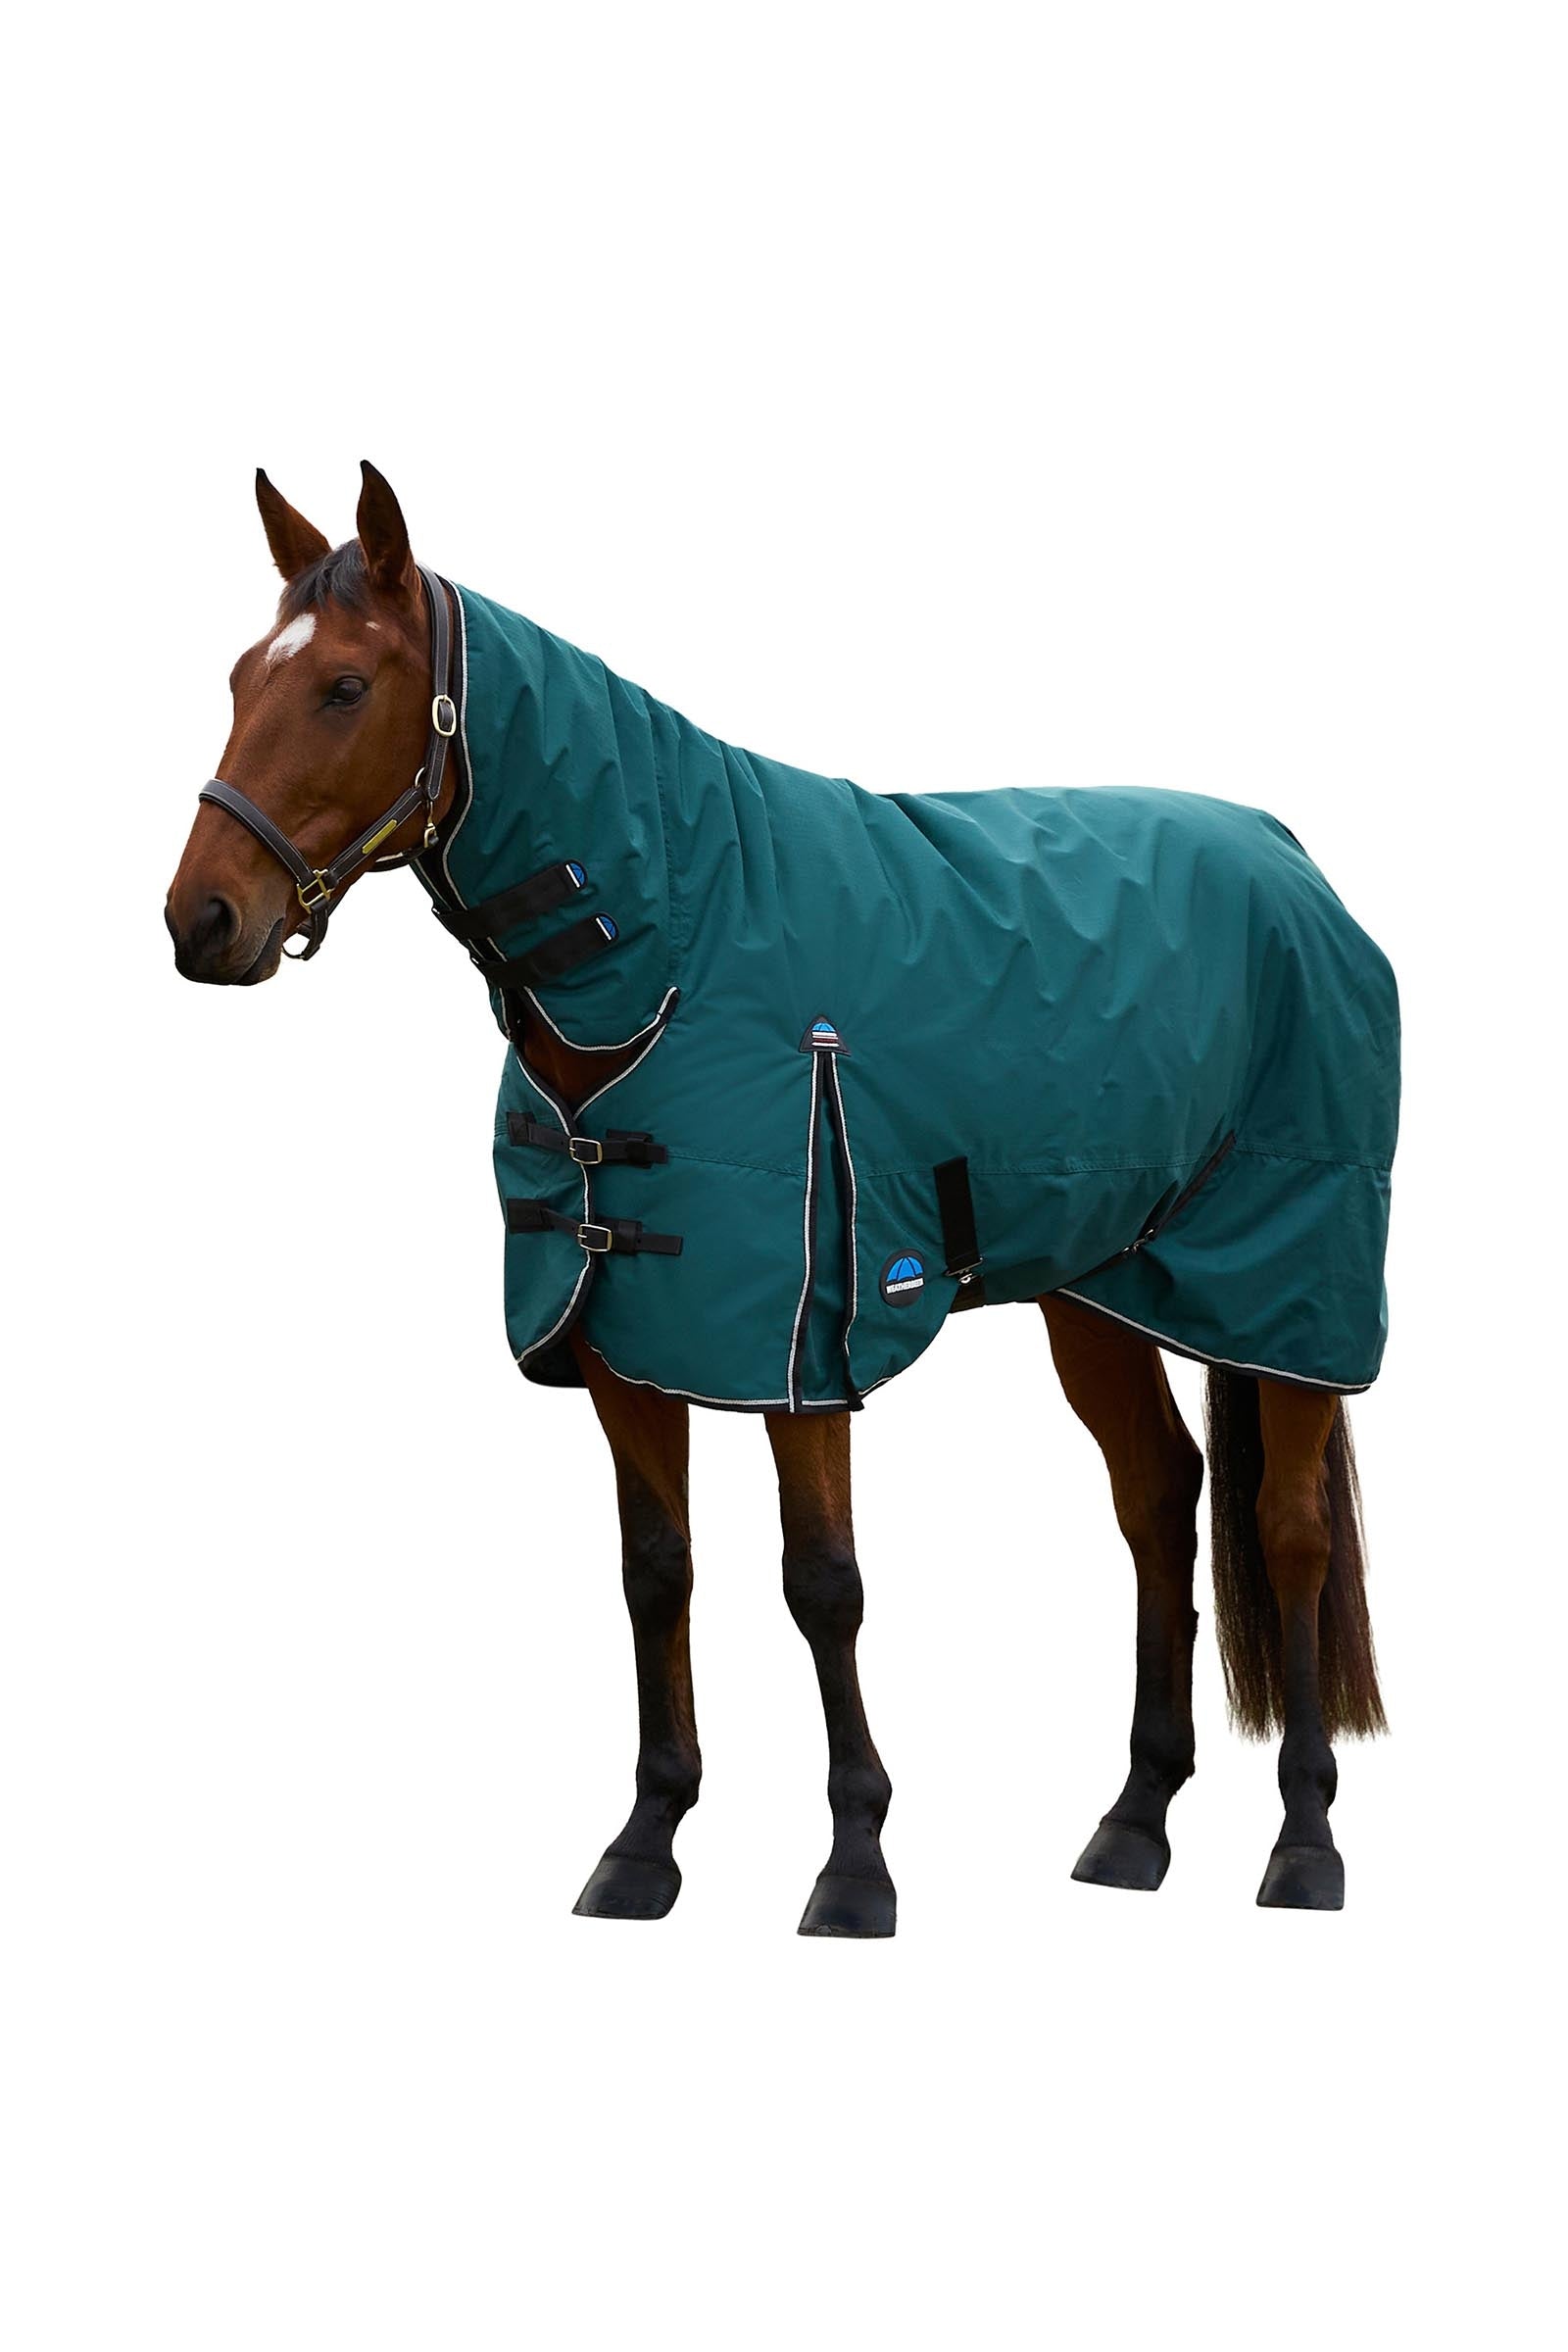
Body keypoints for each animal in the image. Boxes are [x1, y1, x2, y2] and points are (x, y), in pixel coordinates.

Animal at [166, 461, 1395, 1933]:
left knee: (1288, 1532)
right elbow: (656, 1574)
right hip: (1101, 1287)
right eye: (243, 676)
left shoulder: (802, 1341)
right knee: (1160, 1501)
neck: (675, 954)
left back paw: (1307, 1843)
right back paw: (1134, 1824)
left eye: (345, 686)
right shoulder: (627, 1335)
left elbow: (823, 1584)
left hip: (1287, 1288)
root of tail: (1290, 858)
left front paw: (855, 1863)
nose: (199, 922)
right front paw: (645, 1844)